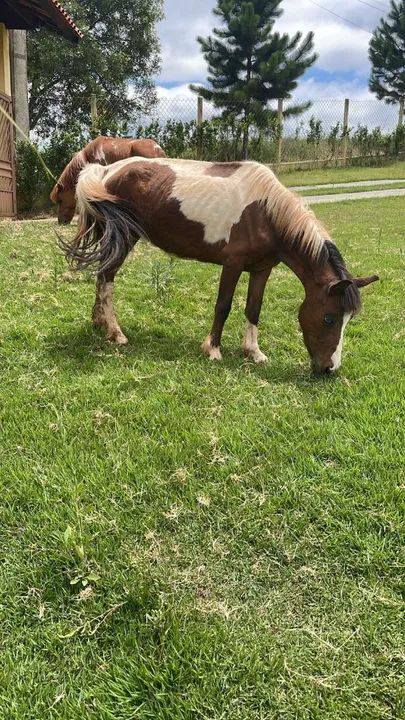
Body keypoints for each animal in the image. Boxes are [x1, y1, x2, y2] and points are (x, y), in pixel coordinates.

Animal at [59, 157, 379, 374]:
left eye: (349, 319)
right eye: (329, 318)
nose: (330, 369)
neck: (265, 212)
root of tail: (105, 171)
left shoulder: (262, 269)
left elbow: (253, 308)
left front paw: (254, 352)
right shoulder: (232, 264)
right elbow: (223, 305)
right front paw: (212, 349)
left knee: (101, 277)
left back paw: (99, 322)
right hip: (124, 238)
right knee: (107, 277)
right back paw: (116, 333)